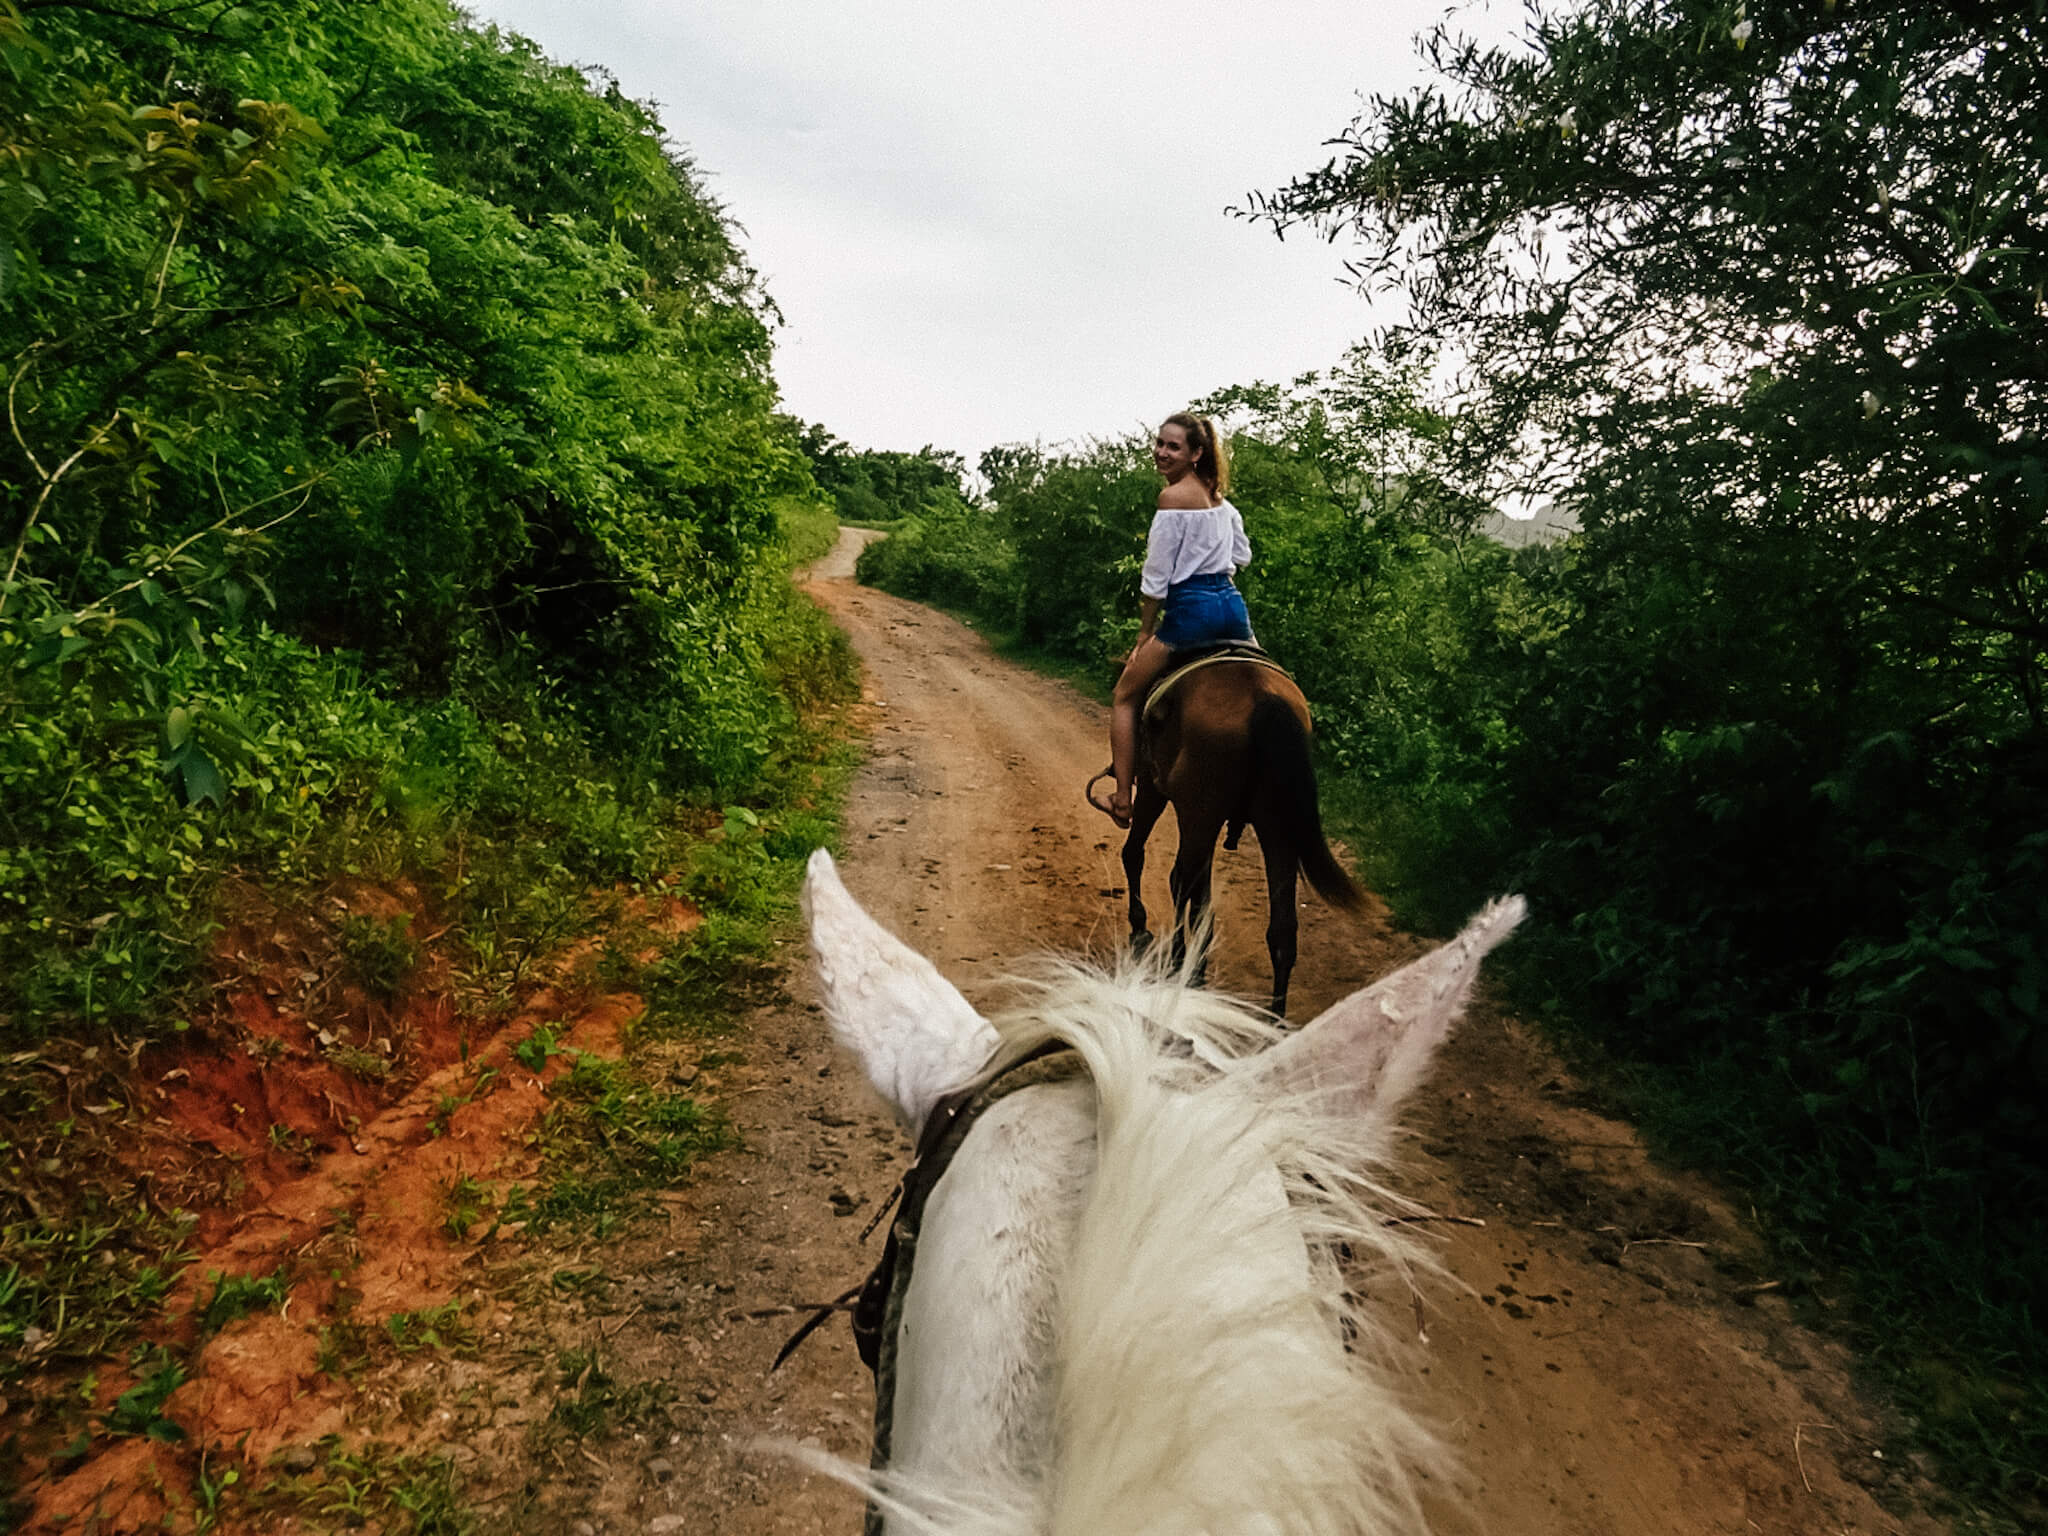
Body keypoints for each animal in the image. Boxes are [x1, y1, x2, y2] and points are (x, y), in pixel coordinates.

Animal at [1114, 659, 1351, 1011]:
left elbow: (1137, 855)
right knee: (1282, 928)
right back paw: (1273, 1014)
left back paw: (1186, 970)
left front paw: (1142, 928)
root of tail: (1263, 699)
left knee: (1189, 892)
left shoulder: (1151, 782)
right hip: (1275, 828)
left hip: (1201, 812)